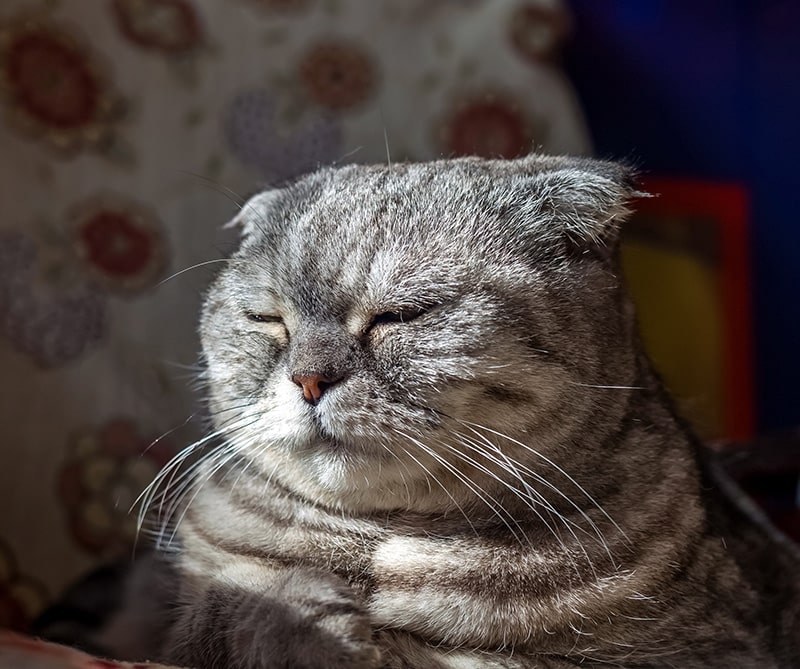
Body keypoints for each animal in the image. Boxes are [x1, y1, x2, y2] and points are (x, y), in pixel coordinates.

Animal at [141, 153, 796, 668]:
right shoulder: (186, 623)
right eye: (269, 319)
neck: (380, 548)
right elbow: (233, 608)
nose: (309, 378)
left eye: (401, 315)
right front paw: (317, 624)